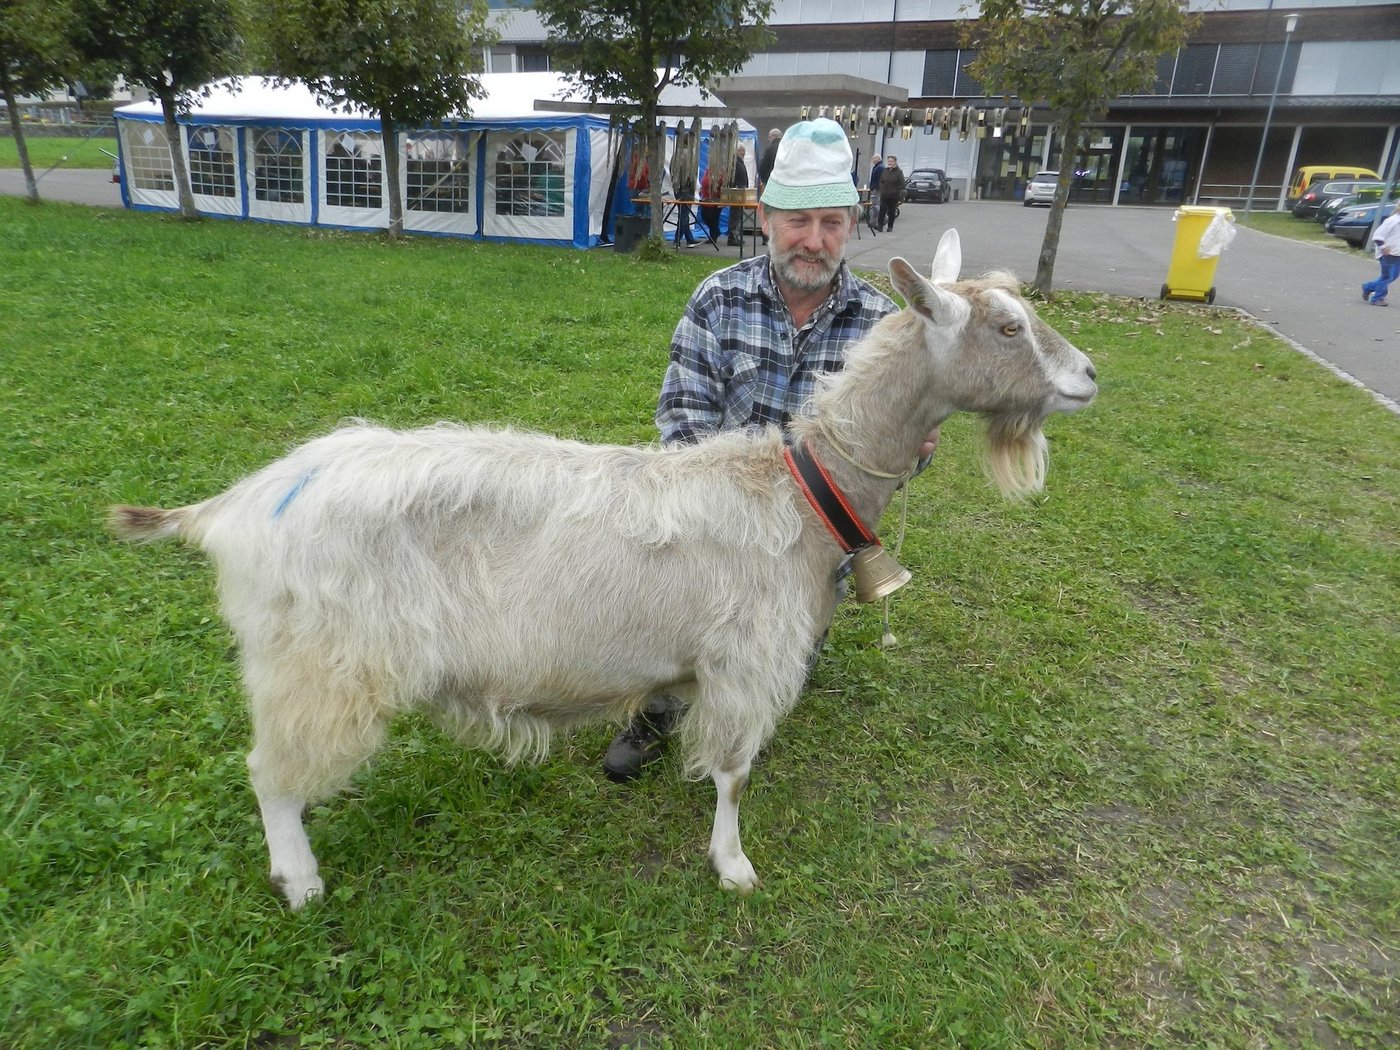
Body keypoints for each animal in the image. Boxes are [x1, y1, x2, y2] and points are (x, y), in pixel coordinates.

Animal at [109, 229, 1097, 909]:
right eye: (1008, 325)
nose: (1091, 375)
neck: (798, 489)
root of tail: (233, 507)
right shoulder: (746, 659)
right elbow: (734, 772)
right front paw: (733, 865)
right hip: (321, 662)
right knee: (268, 770)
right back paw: (301, 878)